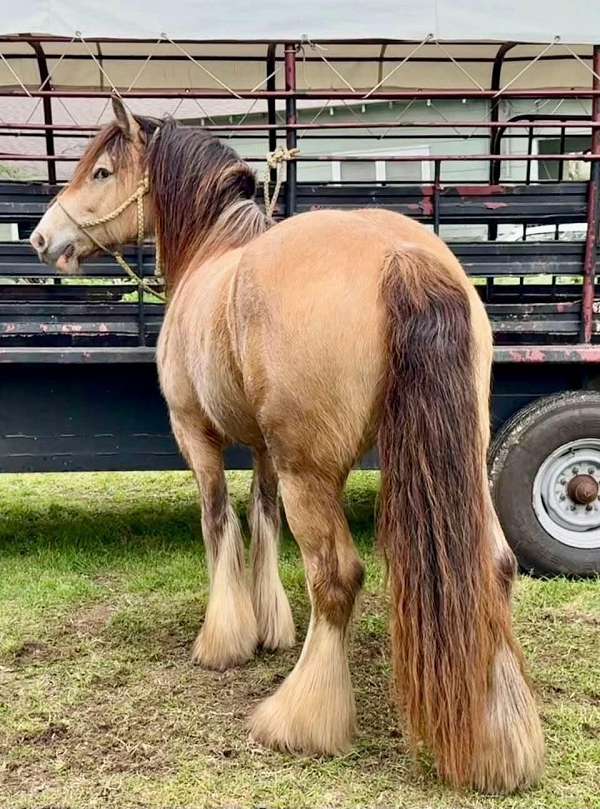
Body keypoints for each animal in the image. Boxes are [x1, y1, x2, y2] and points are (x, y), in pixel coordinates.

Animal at [30, 97, 544, 794]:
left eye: (102, 171)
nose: (40, 238)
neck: (211, 253)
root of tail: (402, 256)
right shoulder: (264, 449)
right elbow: (262, 518)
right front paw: (269, 626)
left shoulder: (198, 436)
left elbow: (219, 521)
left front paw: (224, 640)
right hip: (457, 458)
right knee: (494, 565)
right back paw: (502, 741)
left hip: (312, 473)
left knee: (337, 578)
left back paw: (301, 718)